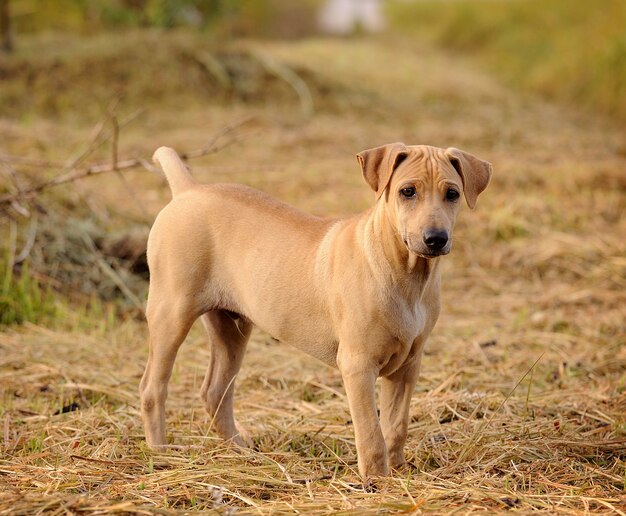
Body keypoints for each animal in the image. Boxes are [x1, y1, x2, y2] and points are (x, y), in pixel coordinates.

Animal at [139, 142, 490, 480]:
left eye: (452, 194)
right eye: (407, 191)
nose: (435, 239)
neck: (407, 271)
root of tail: (188, 190)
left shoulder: (407, 366)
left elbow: (396, 427)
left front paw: (400, 473)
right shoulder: (358, 365)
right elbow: (371, 433)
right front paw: (377, 481)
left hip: (232, 328)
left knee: (215, 392)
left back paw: (240, 451)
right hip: (171, 312)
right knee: (153, 388)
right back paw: (161, 453)